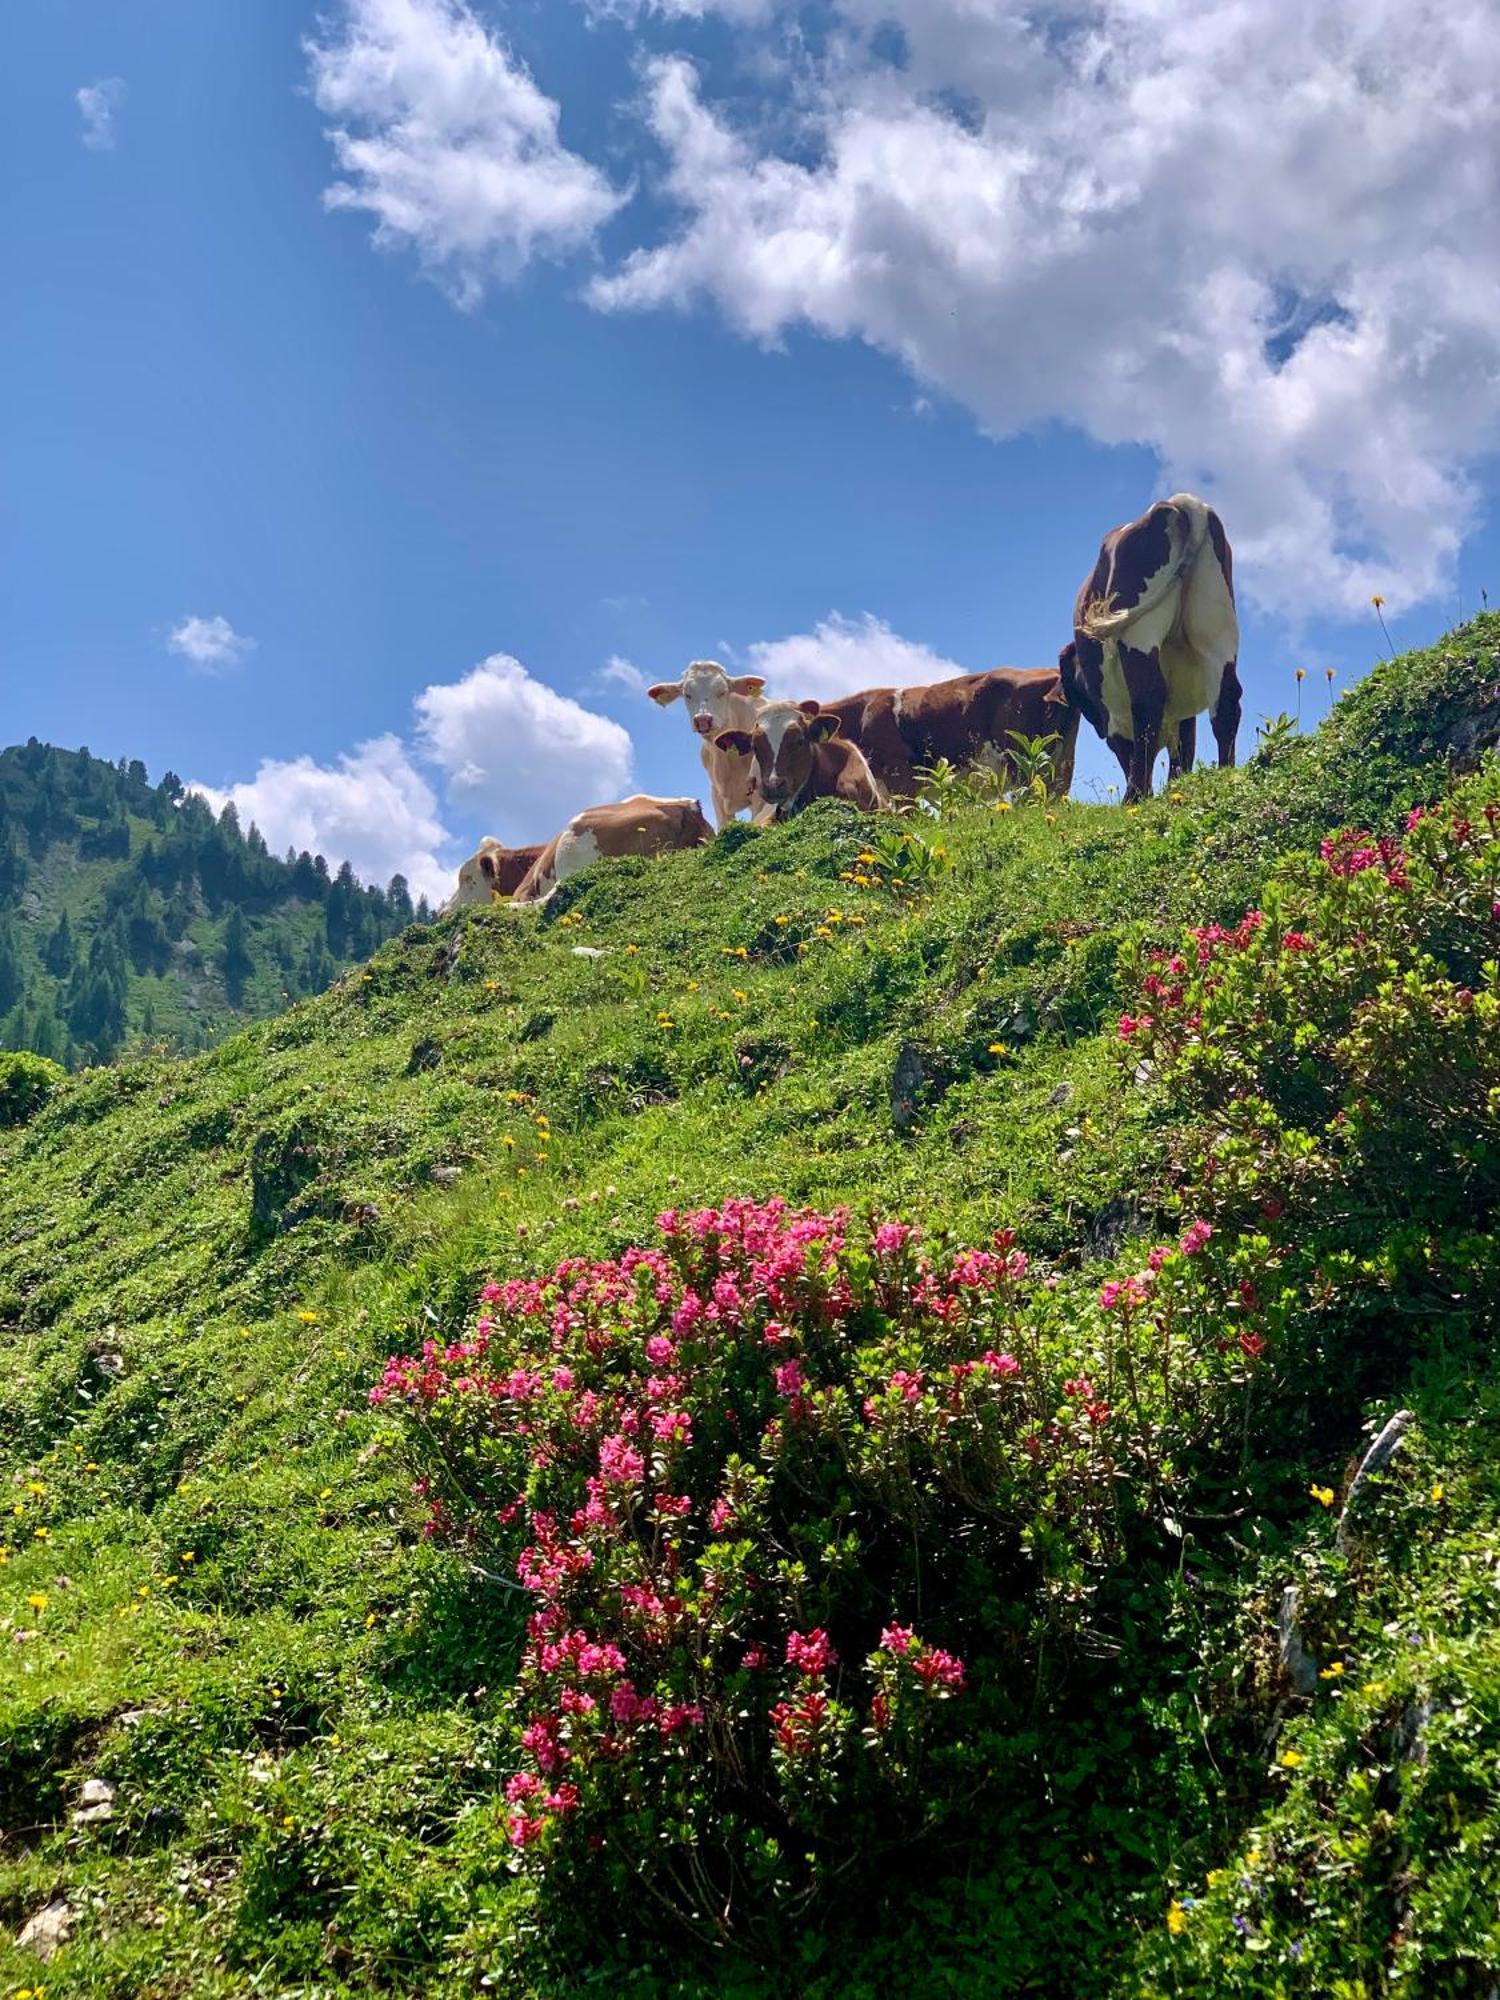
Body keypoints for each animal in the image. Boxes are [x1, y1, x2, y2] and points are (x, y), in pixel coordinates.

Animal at [1064, 488, 1248, 800]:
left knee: (1148, 700)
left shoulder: (1114, 722)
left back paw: (1134, 796)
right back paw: (1225, 775)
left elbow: (1131, 751)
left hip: (1139, 634)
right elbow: (1184, 750)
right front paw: (1177, 788)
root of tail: (1179, 502)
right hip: (1216, 629)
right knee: (1226, 700)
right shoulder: (1185, 715)